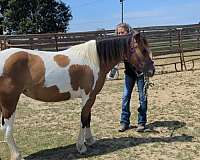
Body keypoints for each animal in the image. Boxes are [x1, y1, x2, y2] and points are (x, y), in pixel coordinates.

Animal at [0, 32, 155, 160]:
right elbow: (83, 119)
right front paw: (81, 146)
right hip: (10, 102)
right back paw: (17, 155)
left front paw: (90, 140)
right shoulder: (88, 97)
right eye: (143, 50)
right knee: (7, 129)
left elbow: (88, 119)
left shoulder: (91, 97)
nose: (152, 71)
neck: (94, 60)